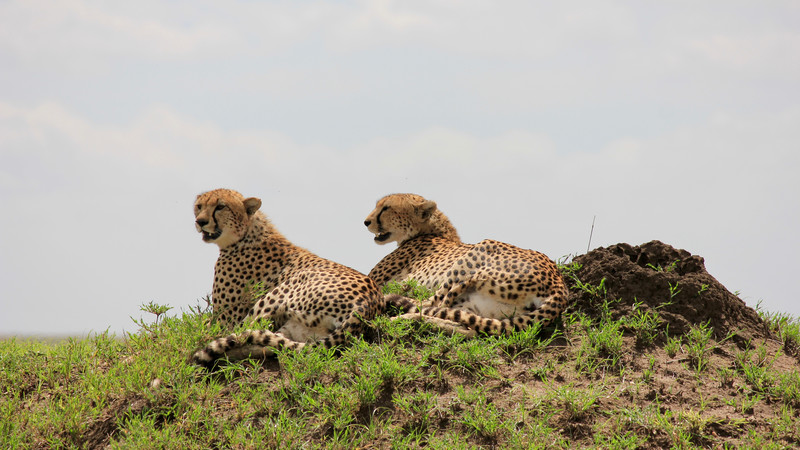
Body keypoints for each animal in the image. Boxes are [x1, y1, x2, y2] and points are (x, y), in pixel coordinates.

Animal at [191, 188, 384, 368]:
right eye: (199, 206)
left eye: (220, 207)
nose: (200, 222)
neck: (247, 233)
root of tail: (367, 305)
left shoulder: (224, 319)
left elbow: (200, 329)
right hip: (299, 328)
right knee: (273, 343)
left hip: (283, 290)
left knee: (244, 332)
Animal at [362, 192, 568, 336]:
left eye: (386, 208)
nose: (366, 222)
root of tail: (559, 285)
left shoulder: (373, 280)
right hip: (480, 308)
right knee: (465, 327)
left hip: (479, 253)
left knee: (433, 304)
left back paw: (397, 312)